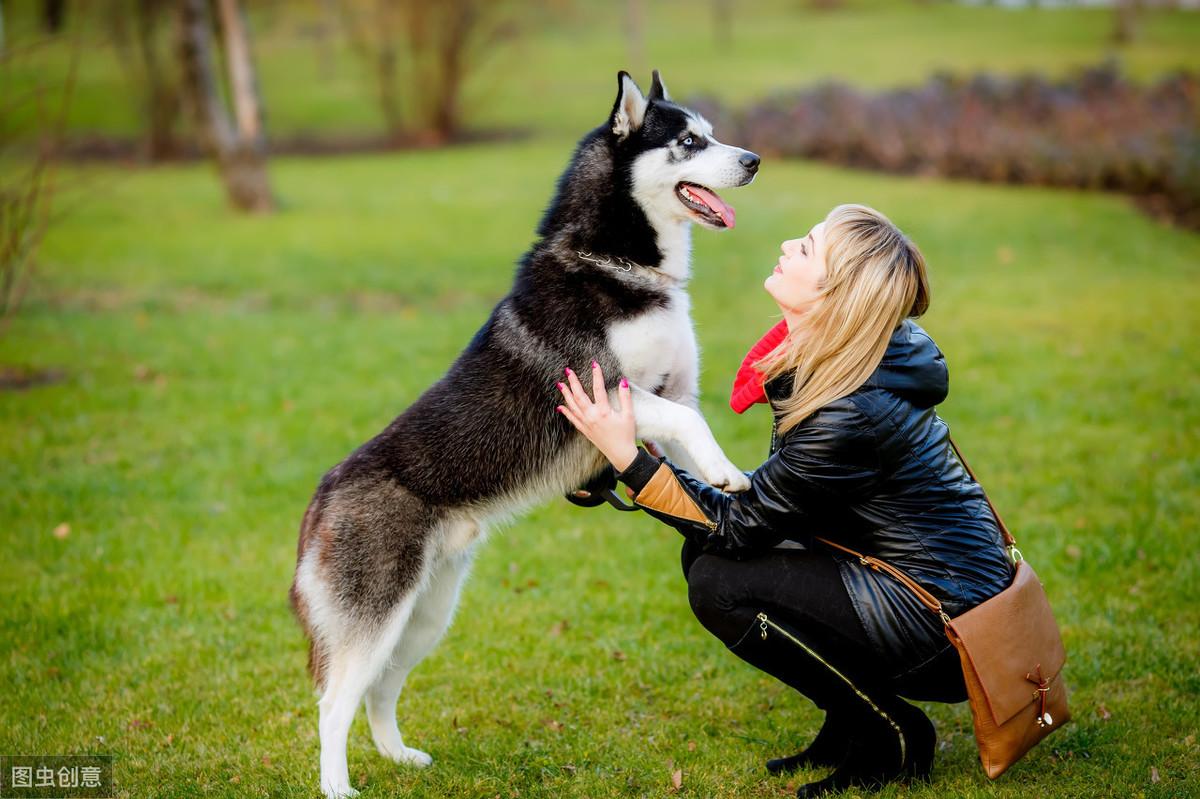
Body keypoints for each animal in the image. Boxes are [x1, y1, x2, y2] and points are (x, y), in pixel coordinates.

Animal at [290, 71, 758, 791]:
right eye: (688, 141)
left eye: (711, 134)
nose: (754, 161)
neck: (612, 261)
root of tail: (324, 490)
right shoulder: (602, 395)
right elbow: (688, 420)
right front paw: (729, 473)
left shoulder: (669, 391)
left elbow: (691, 427)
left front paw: (720, 476)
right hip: (375, 614)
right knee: (334, 703)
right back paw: (337, 785)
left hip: (424, 617)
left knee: (380, 690)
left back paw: (399, 754)